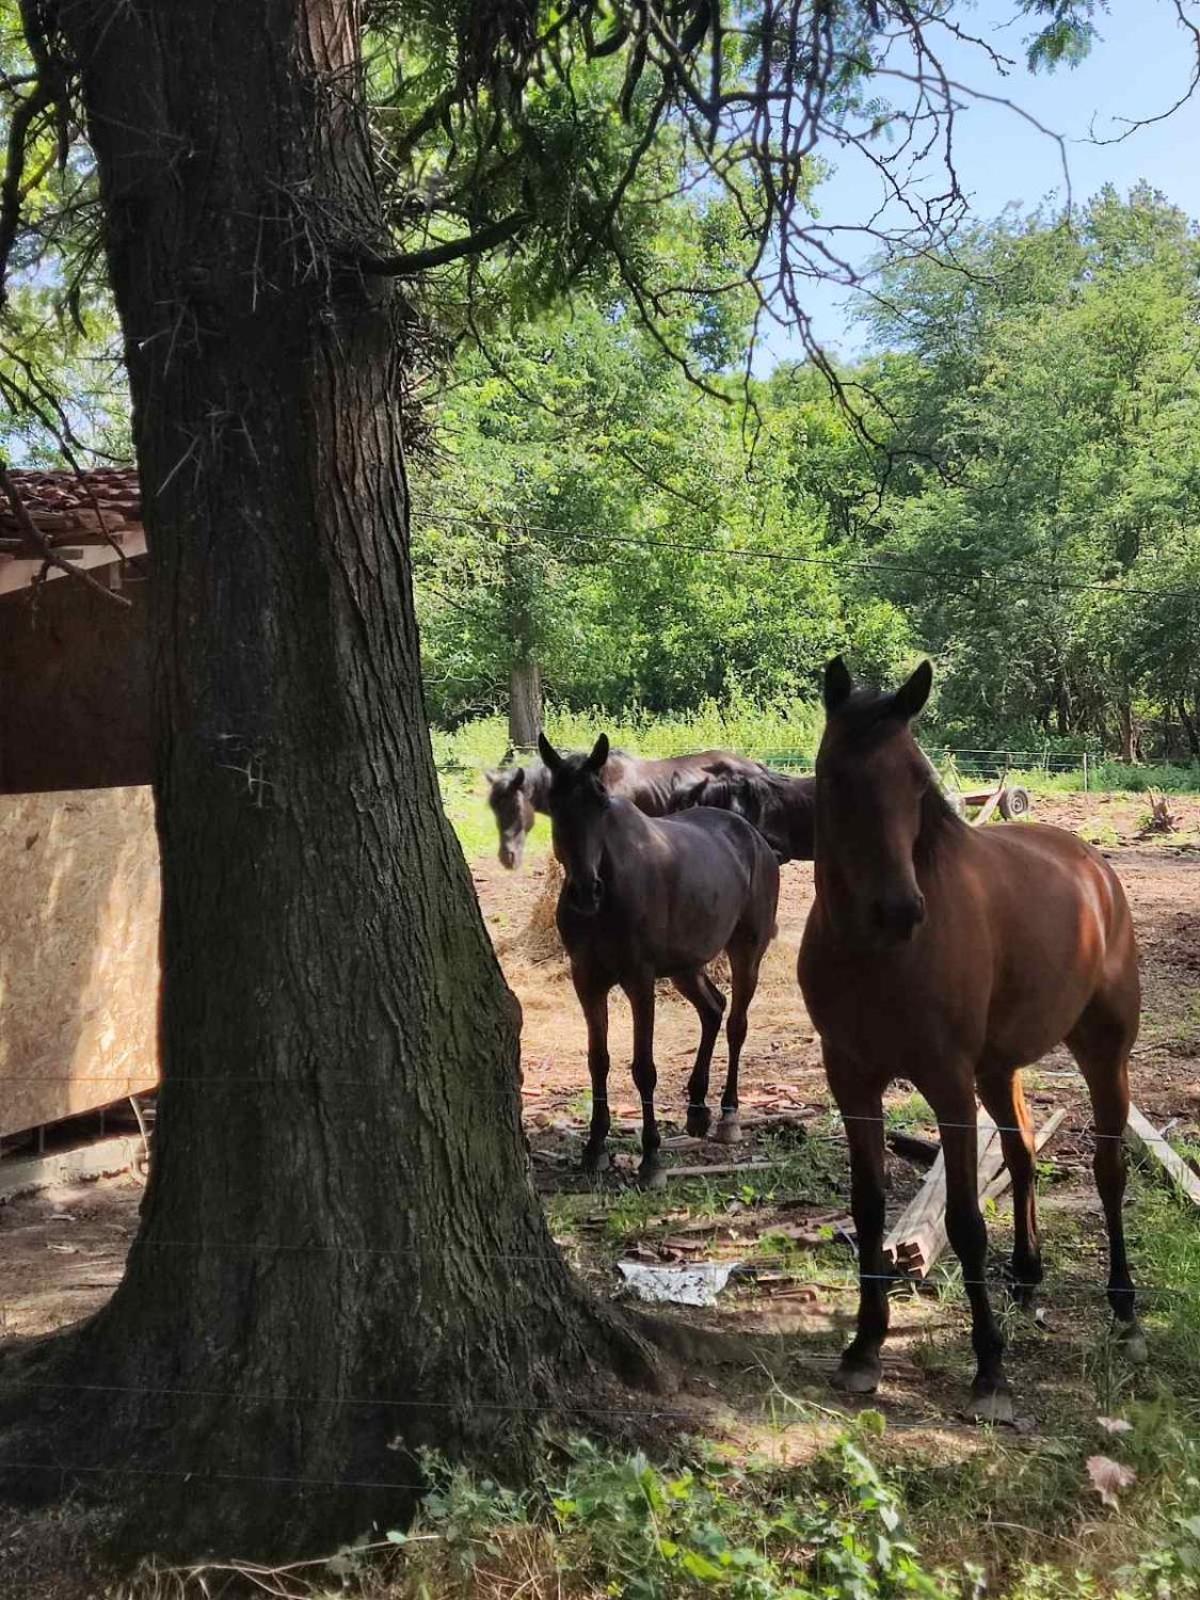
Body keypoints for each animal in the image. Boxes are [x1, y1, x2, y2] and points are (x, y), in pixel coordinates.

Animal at [540, 732, 784, 1184]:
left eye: (601, 803)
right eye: (554, 803)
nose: (585, 890)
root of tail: (754, 837)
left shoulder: (639, 980)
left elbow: (643, 1068)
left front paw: (651, 1156)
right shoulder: (587, 979)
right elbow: (598, 1060)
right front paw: (594, 1146)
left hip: (746, 951)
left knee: (736, 1023)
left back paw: (728, 1115)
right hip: (686, 966)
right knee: (713, 1009)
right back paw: (698, 1109)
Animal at [800, 656, 1145, 1420]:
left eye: (915, 782)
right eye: (836, 777)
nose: (901, 910)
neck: (877, 959)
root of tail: (1093, 868)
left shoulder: (948, 1085)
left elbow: (962, 1220)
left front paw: (989, 1369)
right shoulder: (853, 1080)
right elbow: (869, 1207)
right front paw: (864, 1347)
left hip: (1104, 1051)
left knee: (1109, 1170)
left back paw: (1127, 1311)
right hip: (999, 1067)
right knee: (1022, 1153)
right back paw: (1028, 1276)